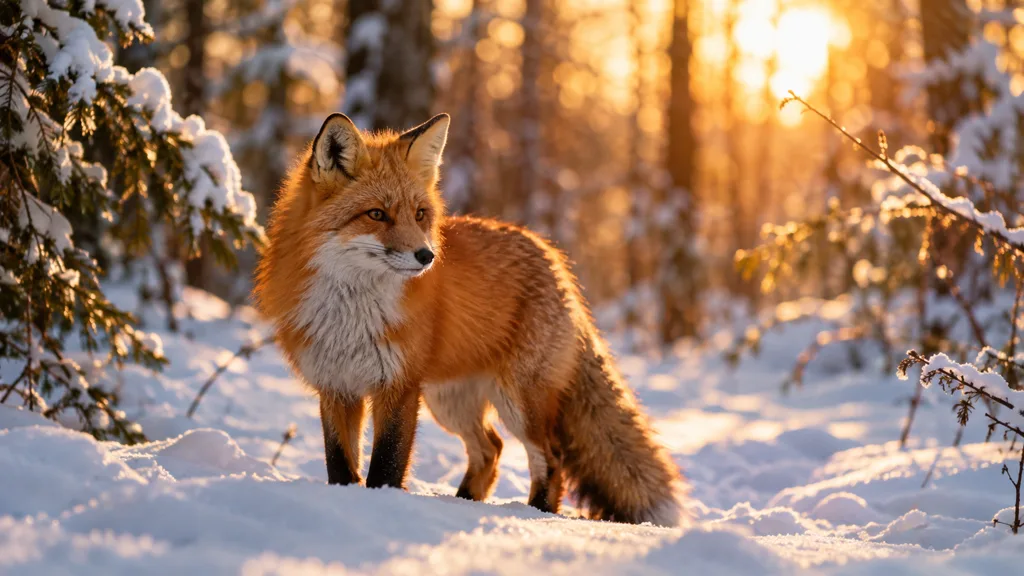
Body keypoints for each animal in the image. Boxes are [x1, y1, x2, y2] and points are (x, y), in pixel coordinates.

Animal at [254, 111, 686, 526]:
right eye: (376, 214)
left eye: (420, 214)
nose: (427, 256)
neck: (350, 315)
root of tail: (553, 257)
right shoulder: (335, 386)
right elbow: (340, 465)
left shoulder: (398, 386)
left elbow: (387, 465)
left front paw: (383, 508)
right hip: (449, 401)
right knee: (490, 449)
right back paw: (464, 502)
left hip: (518, 401)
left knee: (551, 457)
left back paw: (536, 513)